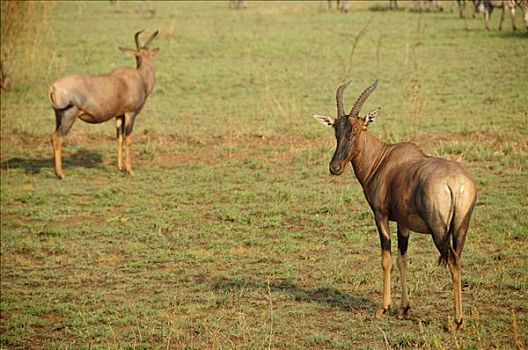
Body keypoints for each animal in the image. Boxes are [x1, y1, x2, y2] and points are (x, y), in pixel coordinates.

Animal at [48, 28, 159, 179]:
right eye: (137, 55)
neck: (138, 77)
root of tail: (54, 86)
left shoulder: (119, 115)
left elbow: (119, 138)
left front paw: (120, 167)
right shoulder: (130, 113)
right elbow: (128, 139)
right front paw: (130, 170)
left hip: (58, 116)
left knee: (53, 137)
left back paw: (56, 171)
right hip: (68, 116)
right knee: (57, 138)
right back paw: (61, 174)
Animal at [314, 79, 478, 328]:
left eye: (356, 129)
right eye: (336, 130)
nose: (335, 167)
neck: (383, 159)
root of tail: (455, 182)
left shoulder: (380, 215)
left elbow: (386, 259)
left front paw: (383, 308)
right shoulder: (403, 223)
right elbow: (403, 259)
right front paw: (403, 309)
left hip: (439, 231)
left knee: (451, 262)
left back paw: (457, 321)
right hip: (461, 227)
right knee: (458, 261)